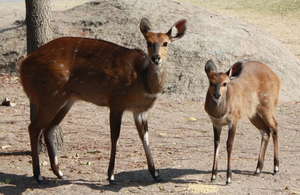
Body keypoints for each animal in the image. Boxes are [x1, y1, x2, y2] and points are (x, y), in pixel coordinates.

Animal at [19, 17, 186, 184]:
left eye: (165, 43)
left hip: (67, 100)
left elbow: (145, 137)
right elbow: (115, 137)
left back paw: (60, 173)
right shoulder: (116, 102)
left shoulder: (140, 111)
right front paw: (110, 175)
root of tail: (22, 65)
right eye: (149, 42)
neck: (143, 82)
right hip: (51, 96)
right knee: (34, 127)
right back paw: (38, 175)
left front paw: (156, 173)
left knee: (48, 129)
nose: (156, 58)